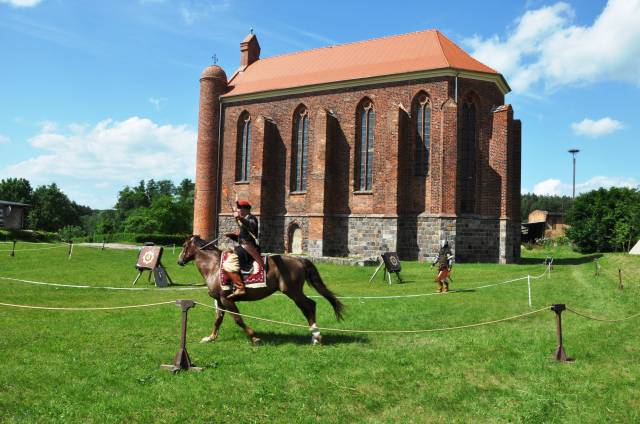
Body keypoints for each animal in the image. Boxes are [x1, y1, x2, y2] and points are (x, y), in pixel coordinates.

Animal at [175, 235, 344, 344]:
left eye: (183, 246)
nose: (179, 261)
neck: (214, 266)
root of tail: (299, 259)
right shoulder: (220, 300)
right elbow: (218, 319)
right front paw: (210, 338)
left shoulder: (226, 299)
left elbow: (238, 319)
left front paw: (254, 337)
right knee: (310, 306)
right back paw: (314, 336)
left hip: (293, 292)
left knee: (309, 306)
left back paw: (316, 336)